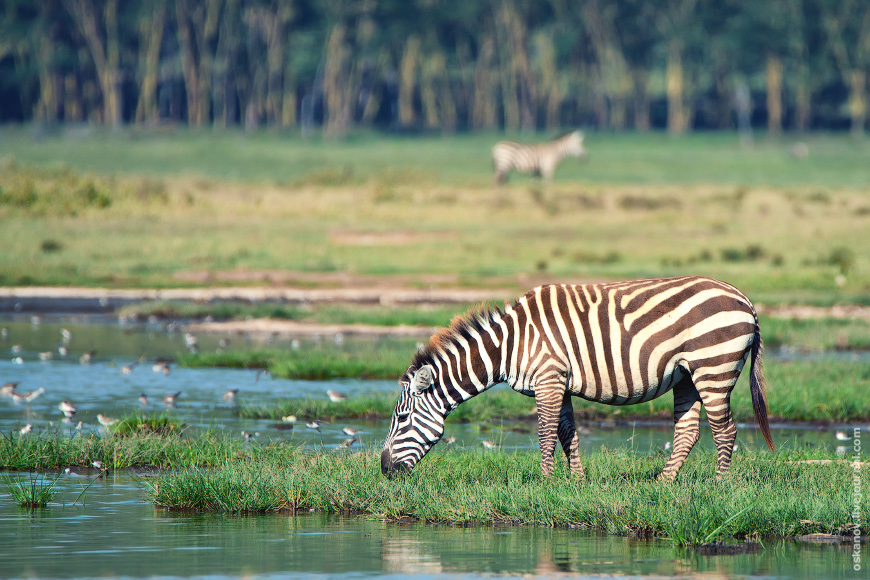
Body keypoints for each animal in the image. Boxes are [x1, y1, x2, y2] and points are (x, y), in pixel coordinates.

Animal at [382, 276, 776, 480]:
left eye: (400, 418)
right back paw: (663, 486)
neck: (510, 344)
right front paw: (576, 482)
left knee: (725, 430)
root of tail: (745, 299)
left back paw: (719, 486)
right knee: (688, 431)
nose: (384, 469)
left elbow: (545, 432)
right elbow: (566, 431)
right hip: (687, 375)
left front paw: (544, 483)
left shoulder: (548, 377)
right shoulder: (561, 382)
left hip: (713, 367)